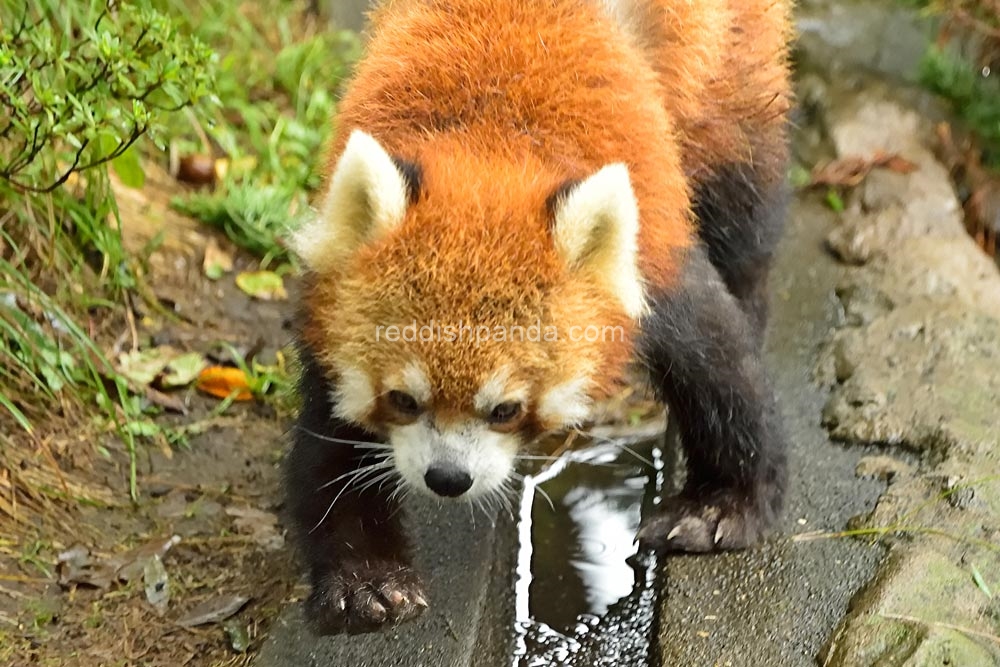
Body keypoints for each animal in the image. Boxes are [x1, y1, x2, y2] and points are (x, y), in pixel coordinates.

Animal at [286, 0, 792, 636]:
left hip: (730, 75)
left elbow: (721, 366)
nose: (447, 479)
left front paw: (720, 507)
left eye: (506, 410)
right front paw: (366, 580)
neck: (490, 144)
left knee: (742, 208)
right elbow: (327, 446)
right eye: (402, 399)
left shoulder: (652, 247)